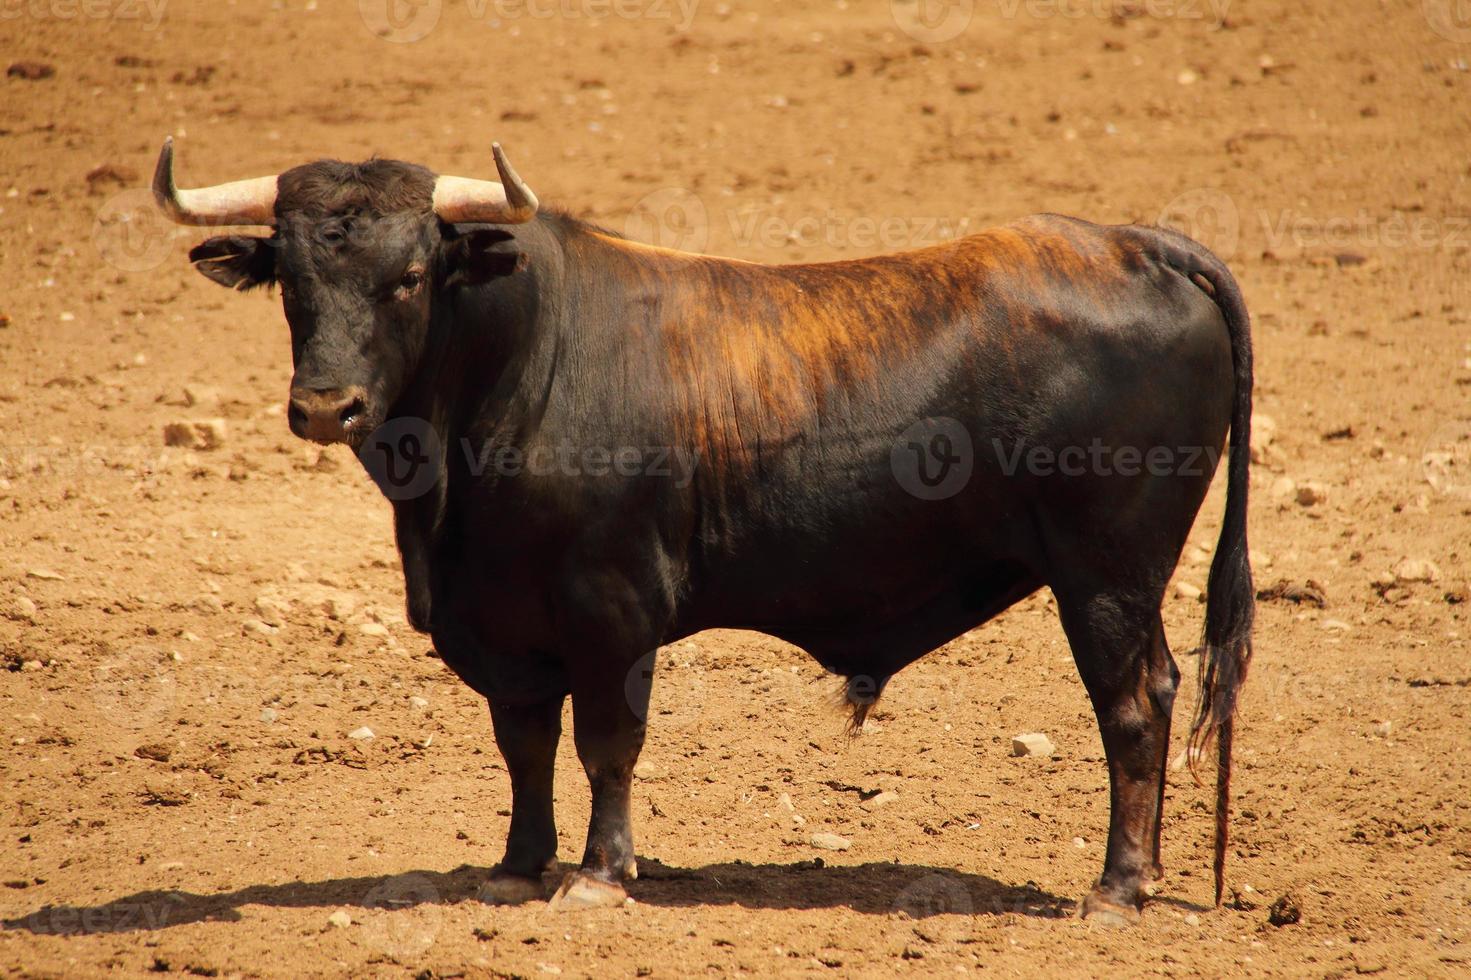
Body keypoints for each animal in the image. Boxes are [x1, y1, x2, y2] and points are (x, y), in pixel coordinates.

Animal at [152, 139, 1253, 924]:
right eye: (291, 278)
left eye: (413, 274)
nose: (325, 406)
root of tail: (1128, 243)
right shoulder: (499, 624)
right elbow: (524, 744)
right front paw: (516, 866)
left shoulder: (611, 607)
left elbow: (605, 739)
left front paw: (598, 873)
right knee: (1154, 691)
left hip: (1104, 573)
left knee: (1130, 704)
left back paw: (1116, 887)